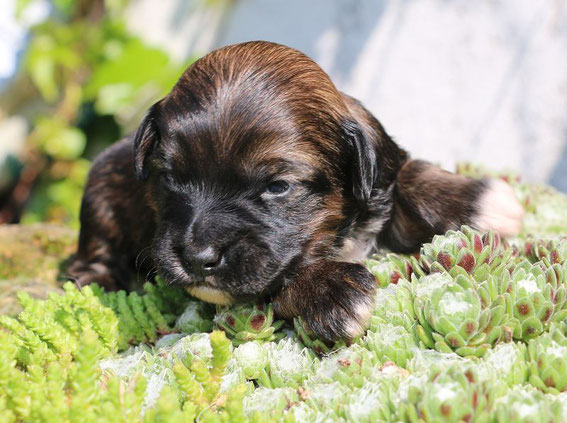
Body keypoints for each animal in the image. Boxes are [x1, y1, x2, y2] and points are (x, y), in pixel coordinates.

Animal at [69, 41, 524, 342]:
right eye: (168, 178)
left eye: (277, 187)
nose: (198, 258)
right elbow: (284, 269)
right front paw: (331, 293)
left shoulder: (384, 171)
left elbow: (411, 175)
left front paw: (480, 200)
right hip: (99, 193)